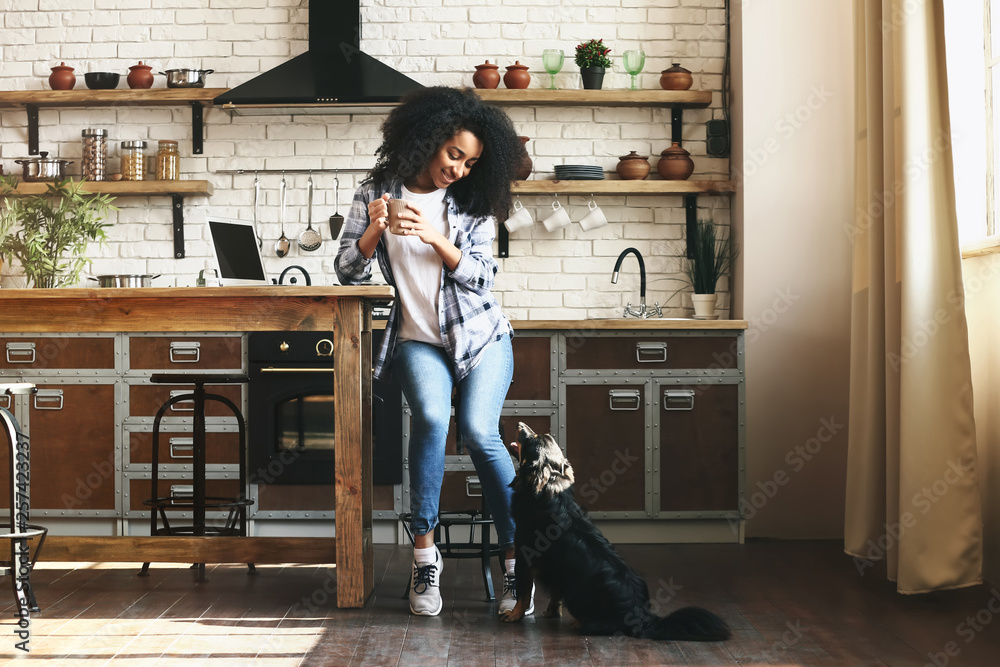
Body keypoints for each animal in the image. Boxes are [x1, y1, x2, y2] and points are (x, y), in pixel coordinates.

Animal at [504, 422, 732, 640]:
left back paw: (579, 623)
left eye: (532, 438)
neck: (551, 488)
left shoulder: (525, 554)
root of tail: (642, 616)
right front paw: (552, 612)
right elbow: (555, 593)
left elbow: (523, 592)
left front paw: (514, 615)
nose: (519, 423)